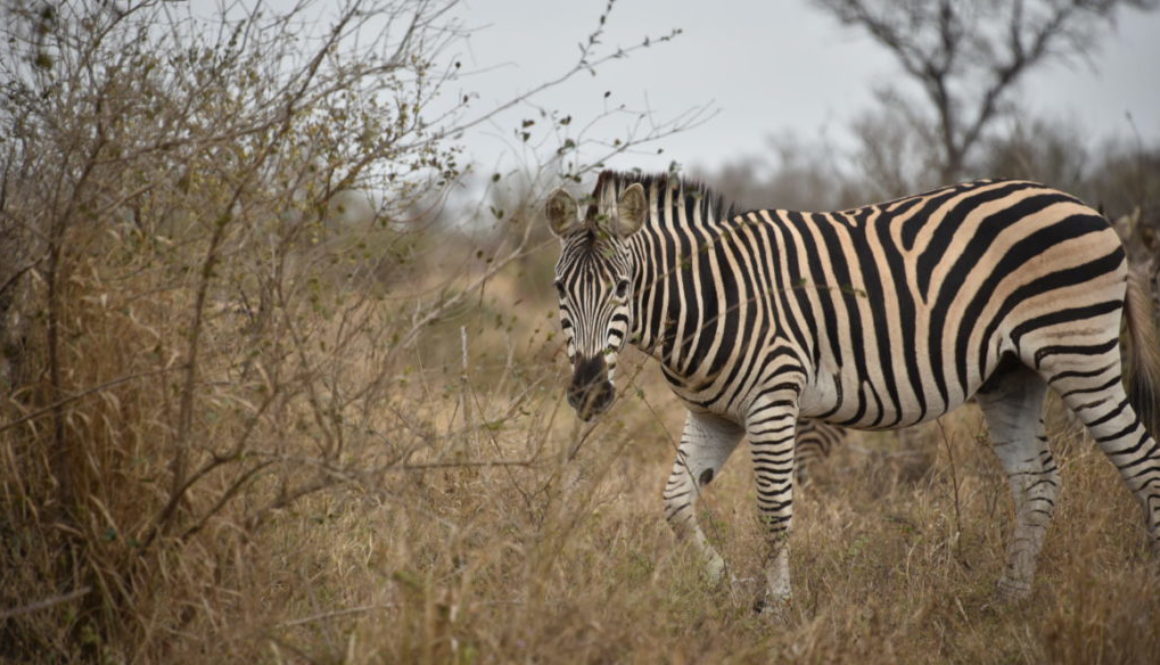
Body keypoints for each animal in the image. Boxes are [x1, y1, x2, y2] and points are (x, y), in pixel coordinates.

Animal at [547, 169, 1160, 608]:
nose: (588, 393)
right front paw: (728, 584)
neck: (715, 299)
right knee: (1037, 482)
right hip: (1011, 375)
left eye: (623, 287)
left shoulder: (773, 401)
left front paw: (776, 607)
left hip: (1079, 354)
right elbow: (675, 502)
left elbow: (774, 509)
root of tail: (1085, 206)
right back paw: (1008, 599)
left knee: (1144, 462)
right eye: (558, 288)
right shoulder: (713, 414)